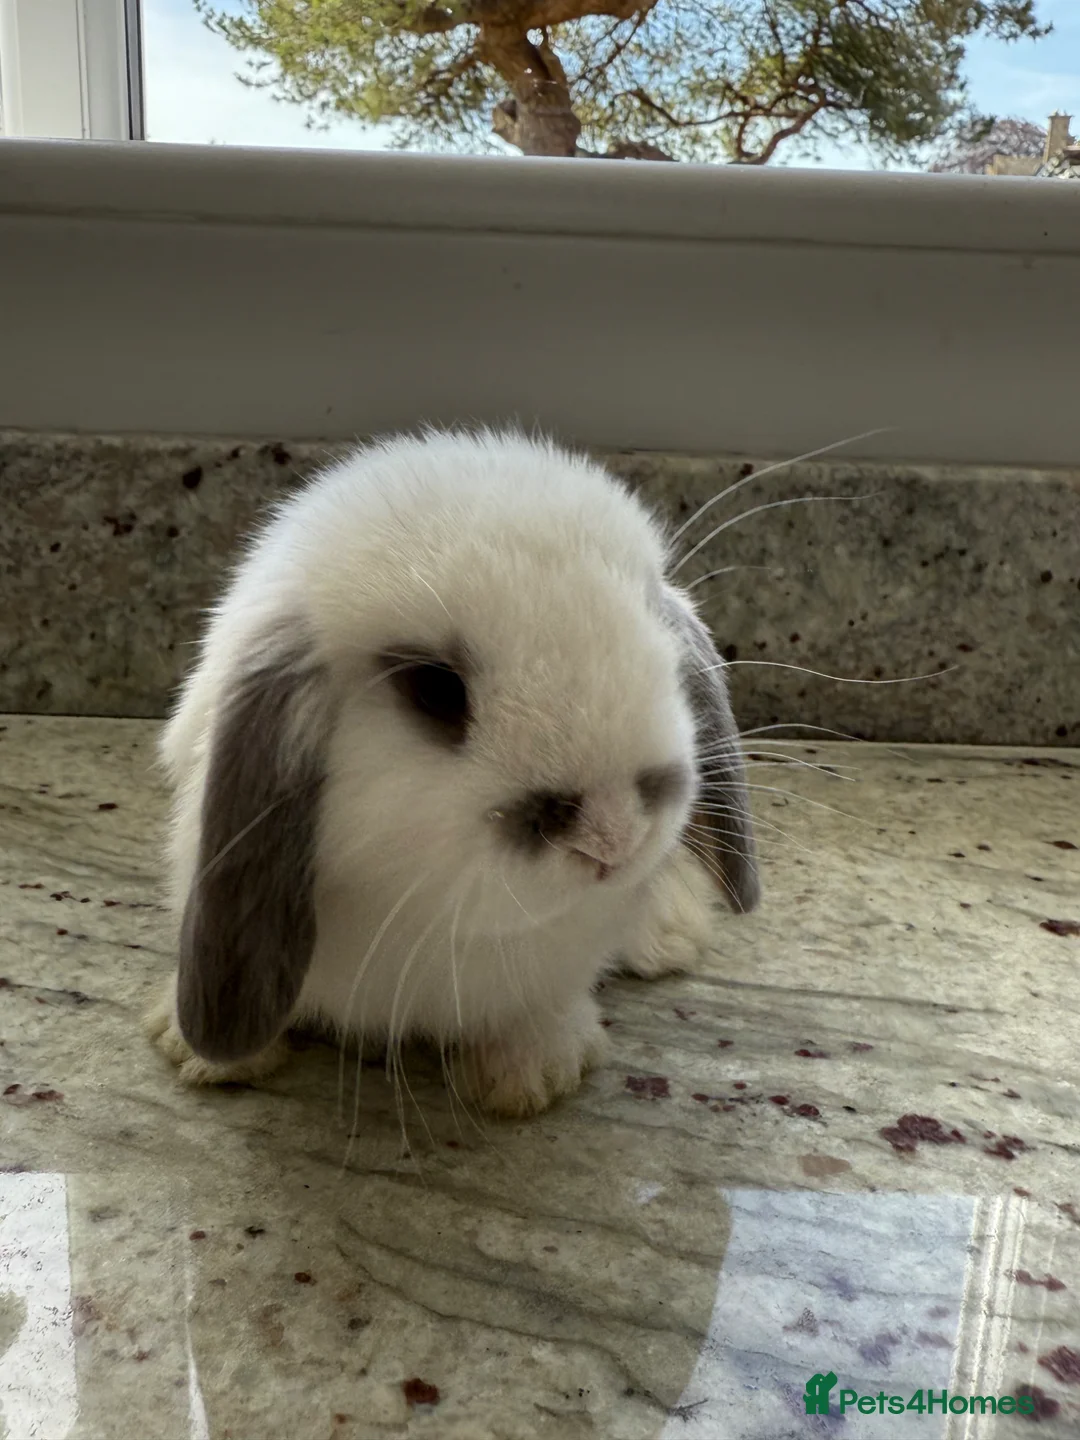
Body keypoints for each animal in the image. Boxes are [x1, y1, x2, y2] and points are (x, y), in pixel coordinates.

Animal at [145, 427, 759, 1117]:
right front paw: (200, 1052)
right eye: (436, 690)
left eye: (659, 644)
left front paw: (531, 1075)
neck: (431, 918)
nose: (613, 836)